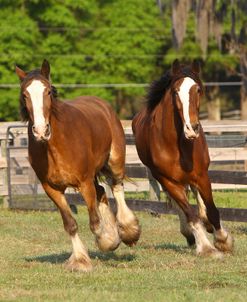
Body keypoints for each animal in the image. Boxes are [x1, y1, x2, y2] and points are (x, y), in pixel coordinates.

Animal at [15, 59, 141, 272]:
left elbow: (95, 223)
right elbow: (70, 224)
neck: (54, 146)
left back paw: (128, 231)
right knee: (102, 192)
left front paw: (108, 241)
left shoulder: (84, 183)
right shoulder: (52, 189)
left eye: (48, 91)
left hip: (114, 162)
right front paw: (81, 260)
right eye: (25, 94)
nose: (41, 131)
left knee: (116, 187)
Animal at [132, 60, 233, 258]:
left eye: (198, 89)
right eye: (175, 91)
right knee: (182, 206)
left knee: (198, 198)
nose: (191, 129)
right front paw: (206, 248)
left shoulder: (201, 175)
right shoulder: (168, 180)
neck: (175, 144)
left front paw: (223, 240)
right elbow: (189, 213)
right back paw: (190, 234)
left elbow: (212, 209)